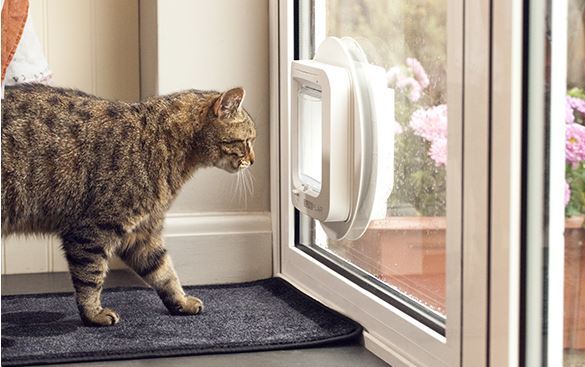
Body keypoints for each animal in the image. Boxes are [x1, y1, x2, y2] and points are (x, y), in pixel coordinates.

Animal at [1, 84, 256, 328]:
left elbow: (164, 272)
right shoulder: (91, 231)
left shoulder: (142, 232)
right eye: (246, 141)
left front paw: (181, 302)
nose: (253, 161)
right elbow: (90, 277)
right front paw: (93, 315)